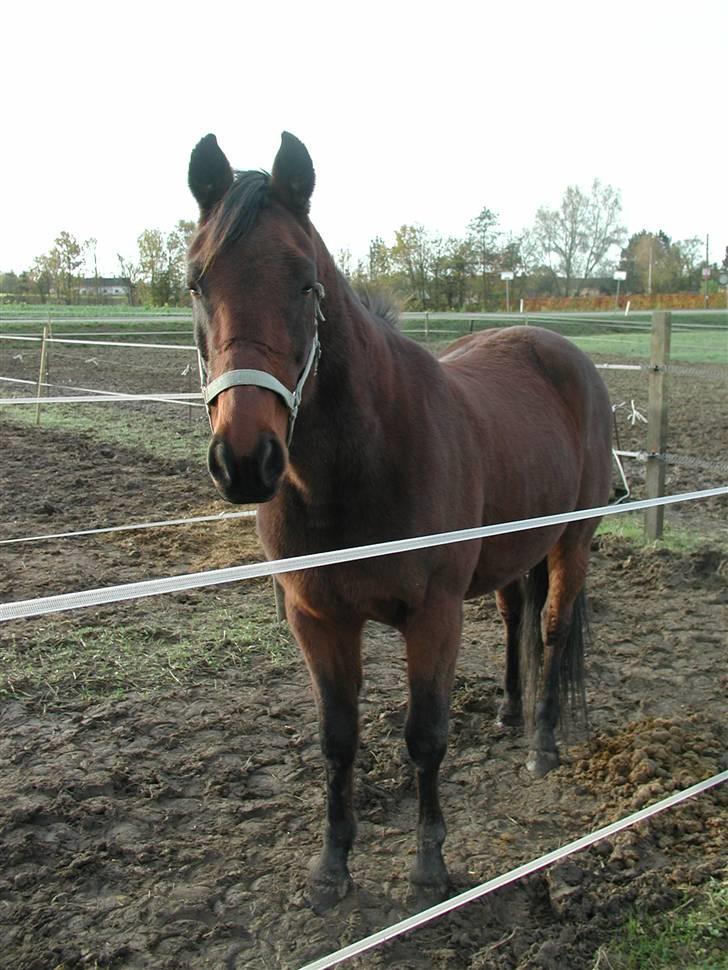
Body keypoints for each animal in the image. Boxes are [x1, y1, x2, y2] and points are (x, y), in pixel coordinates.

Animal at [185, 132, 612, 912]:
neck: (362, 463)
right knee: (516, 616)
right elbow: (338, 738)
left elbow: (425, 736)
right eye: (197, 282)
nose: (245, 460)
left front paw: (430, 866)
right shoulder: (318, 618)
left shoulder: (433, 615)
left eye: (306, 283)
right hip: (513, 549)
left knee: (553, 627)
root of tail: (561, 352)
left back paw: (541, 745)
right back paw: (509, 715)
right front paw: (331, 868)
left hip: (574, 540)